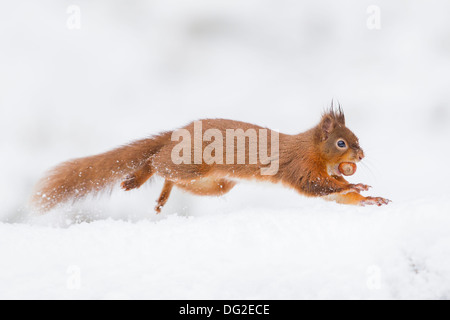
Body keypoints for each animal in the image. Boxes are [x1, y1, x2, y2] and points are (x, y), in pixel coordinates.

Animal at [31, 107, 390, 212]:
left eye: (356, 138)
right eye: (341, 142)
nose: (361, 154)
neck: (312, 149)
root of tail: (178, 134)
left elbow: (337, 194)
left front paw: (370, 199)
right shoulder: (300, 167)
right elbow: (318, 187)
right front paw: (358, 184)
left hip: (214, 184)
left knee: (171, 178)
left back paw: (162, 199)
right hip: (190, 163)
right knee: (156, 161)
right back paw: (137, 178)